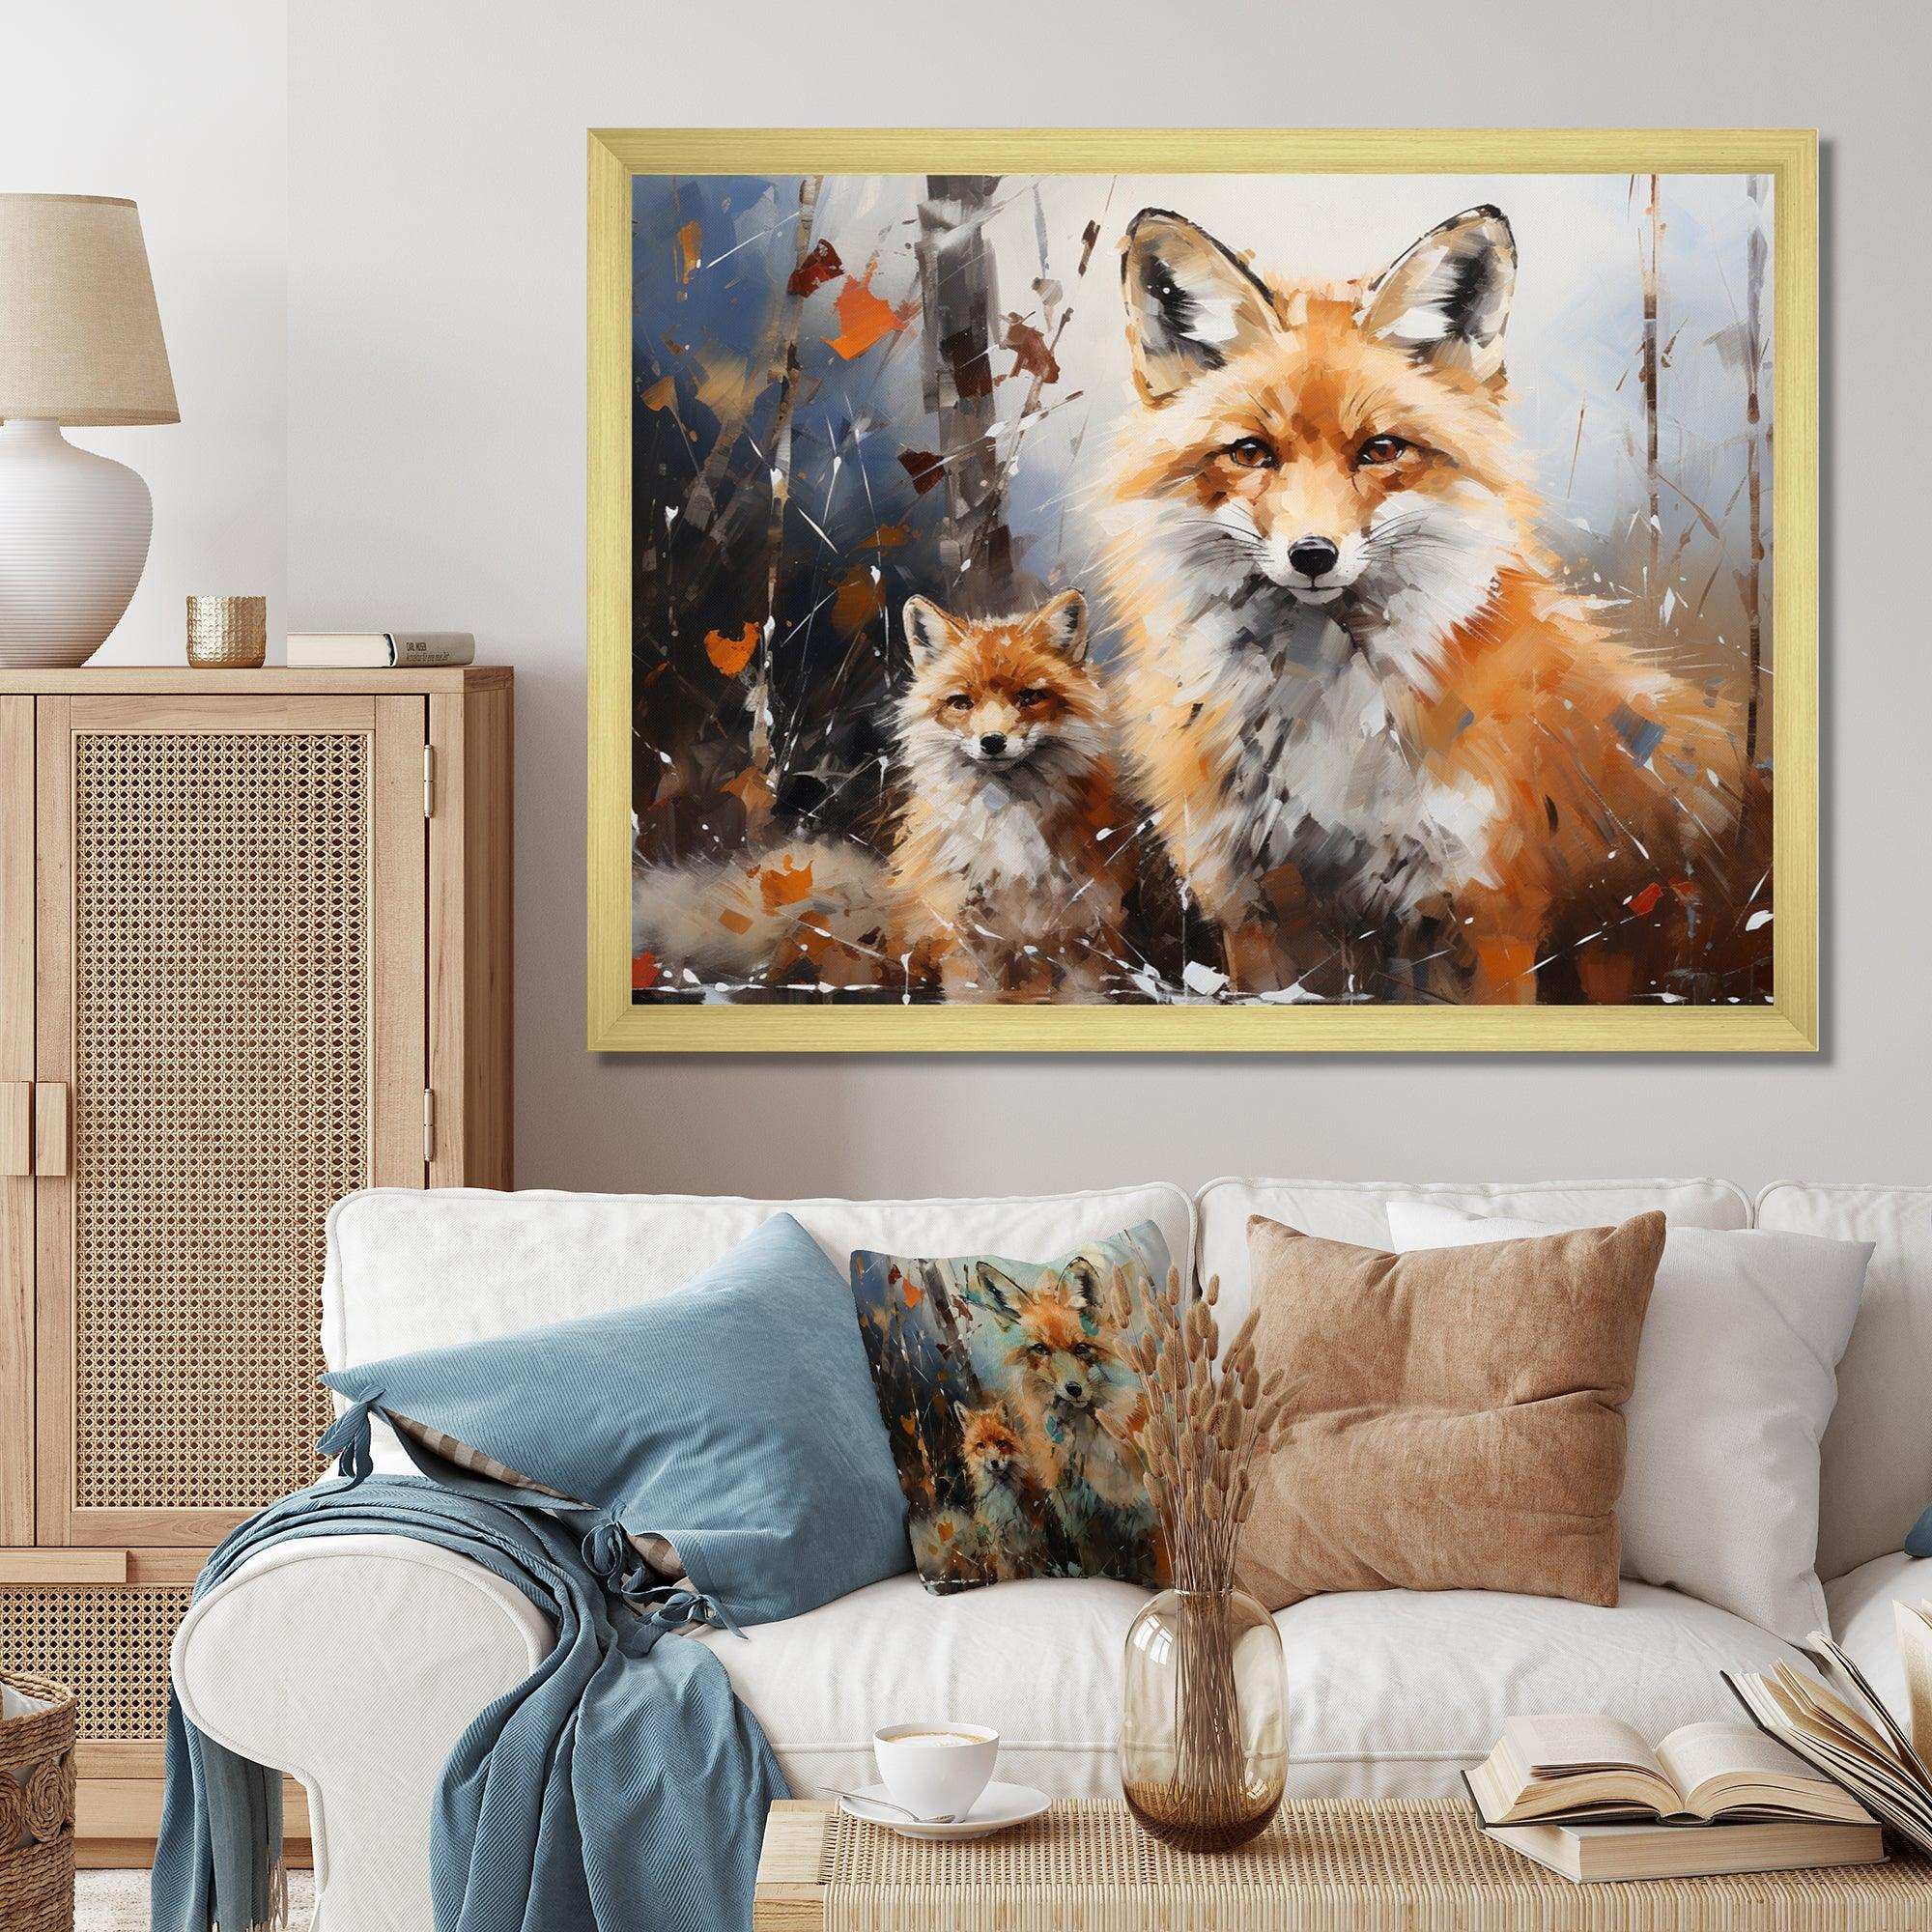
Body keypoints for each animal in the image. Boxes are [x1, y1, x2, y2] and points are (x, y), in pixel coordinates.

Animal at [891, 590, 1138, 1003]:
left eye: (1028, 697)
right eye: (961, 702)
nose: (992, 742)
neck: (1008, 824)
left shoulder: (1083, 933)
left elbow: (1083, 995)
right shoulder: (967, 939)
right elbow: (971, 997)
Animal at [1097, 204, 1749, 1003]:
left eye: (1381, 450)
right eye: (1250, 453)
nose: (1312, 555)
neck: (1324, 724)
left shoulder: (1487, 910)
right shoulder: (1253, 908)